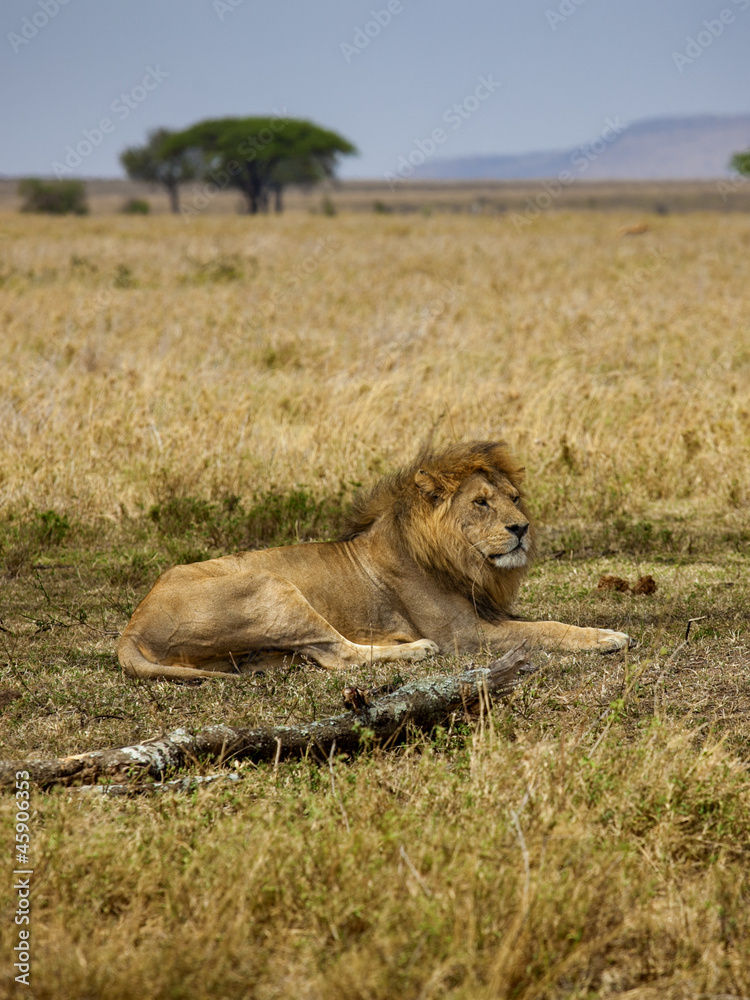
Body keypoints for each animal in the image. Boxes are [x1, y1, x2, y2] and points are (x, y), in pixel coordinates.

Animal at [117, 440, 630, 681]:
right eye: (482, 503)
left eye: (515, 498)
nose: (521, 528)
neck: (463, 562)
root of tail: (133, 625)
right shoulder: (466, 634)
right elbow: (545, 629)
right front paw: (607, 637)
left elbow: (547, 620)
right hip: (270, 585)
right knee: (339, 654)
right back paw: (415, 649)